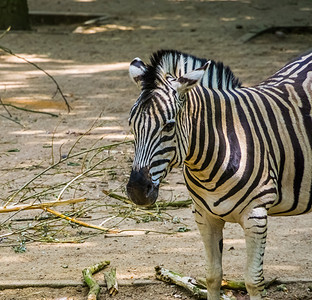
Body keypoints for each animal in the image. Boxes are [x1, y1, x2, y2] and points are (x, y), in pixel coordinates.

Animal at [125, 49, 312, 300]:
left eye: (169, 126)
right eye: (131, 125)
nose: (137, 190)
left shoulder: (256, 216)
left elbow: (253, 280)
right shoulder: (205, 216)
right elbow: (213, 276)